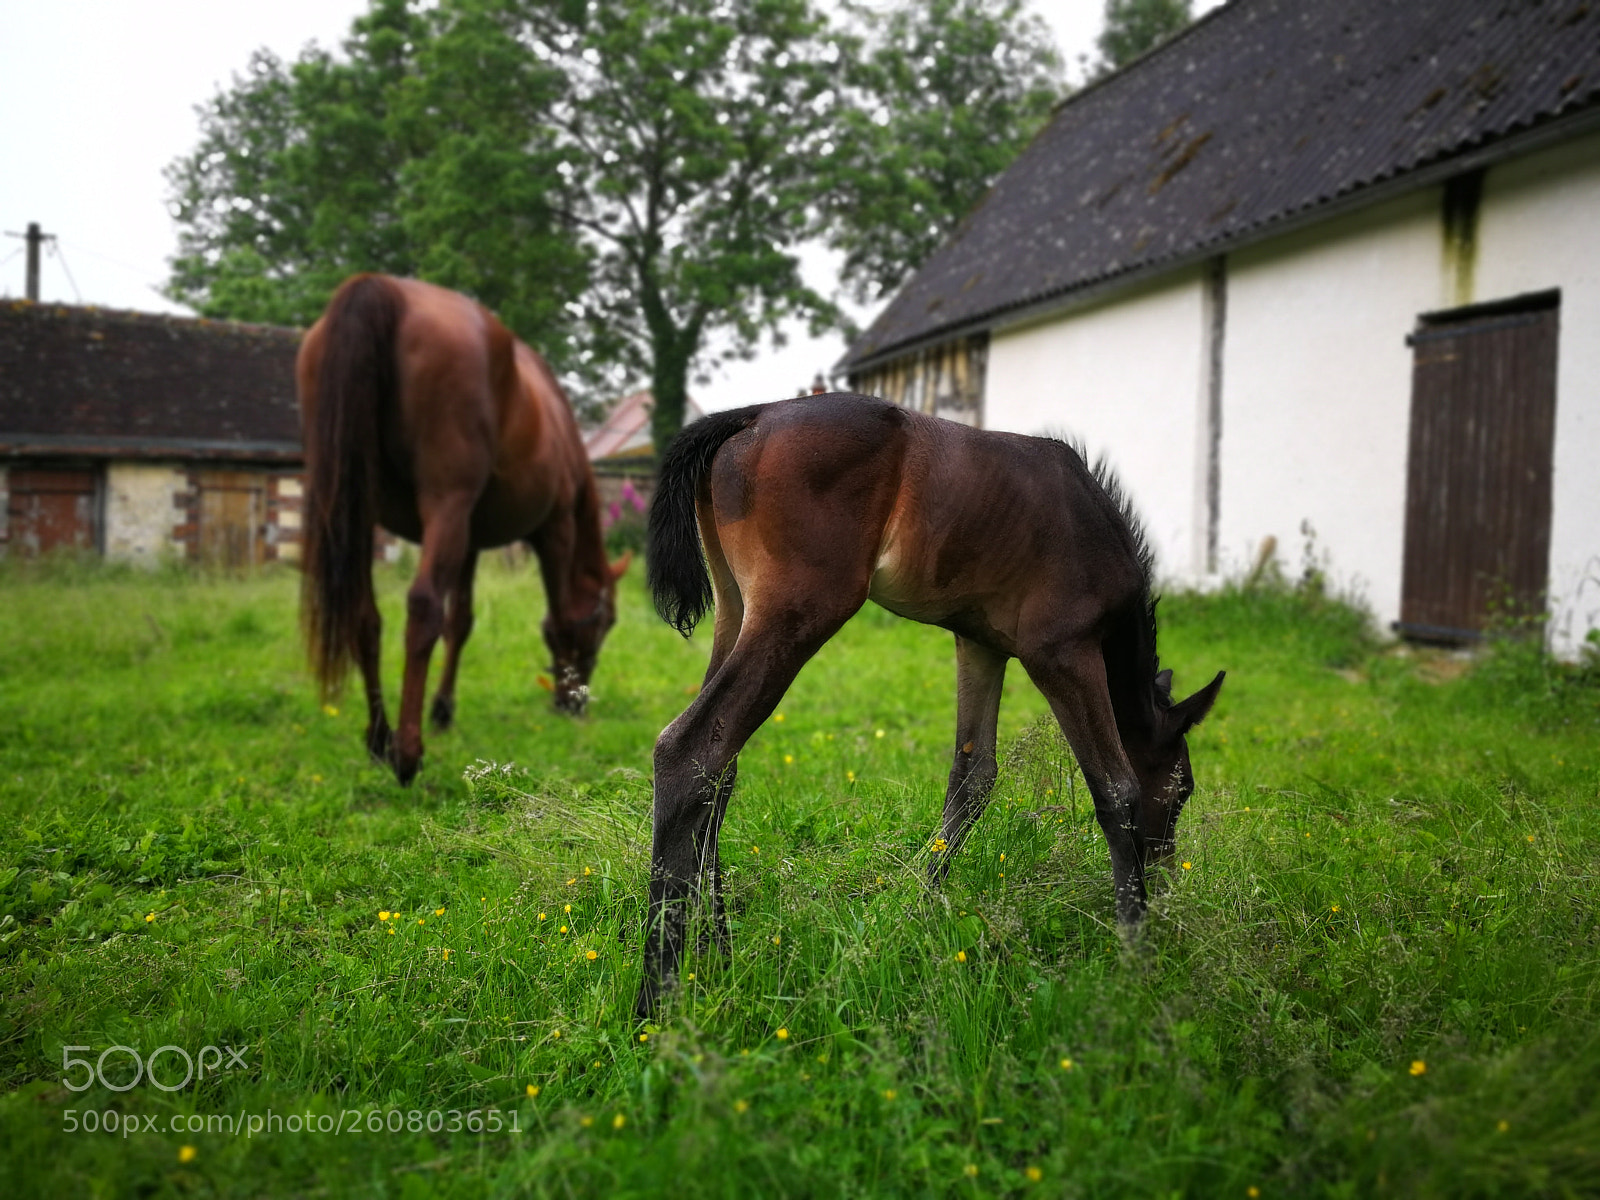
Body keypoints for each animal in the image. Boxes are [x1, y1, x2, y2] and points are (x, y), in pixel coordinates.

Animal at [296, 274, 630, 786]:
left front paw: (443, 708)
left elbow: (462, 622)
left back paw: (379, 737)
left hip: (357, 510)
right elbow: (556, 618)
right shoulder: (553, 532)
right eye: (607, 621)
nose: (577, 702)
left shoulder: (470, 541)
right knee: (422, 609)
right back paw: (407, 753)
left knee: (365, 618)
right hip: (444, 504)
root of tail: (382, 287)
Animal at [634, 392, 1224, 1016]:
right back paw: (655, 1001)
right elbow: (1116, 789)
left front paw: (914, 906)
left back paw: (717, 948)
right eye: (1183, 789)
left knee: (720, 767)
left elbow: (974, 776)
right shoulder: (1063, 652)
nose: (1164, 876)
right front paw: (1139, 963)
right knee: (689, 750)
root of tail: (755, 413)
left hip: (736, 609)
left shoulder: (981, 644)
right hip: (798, 610)